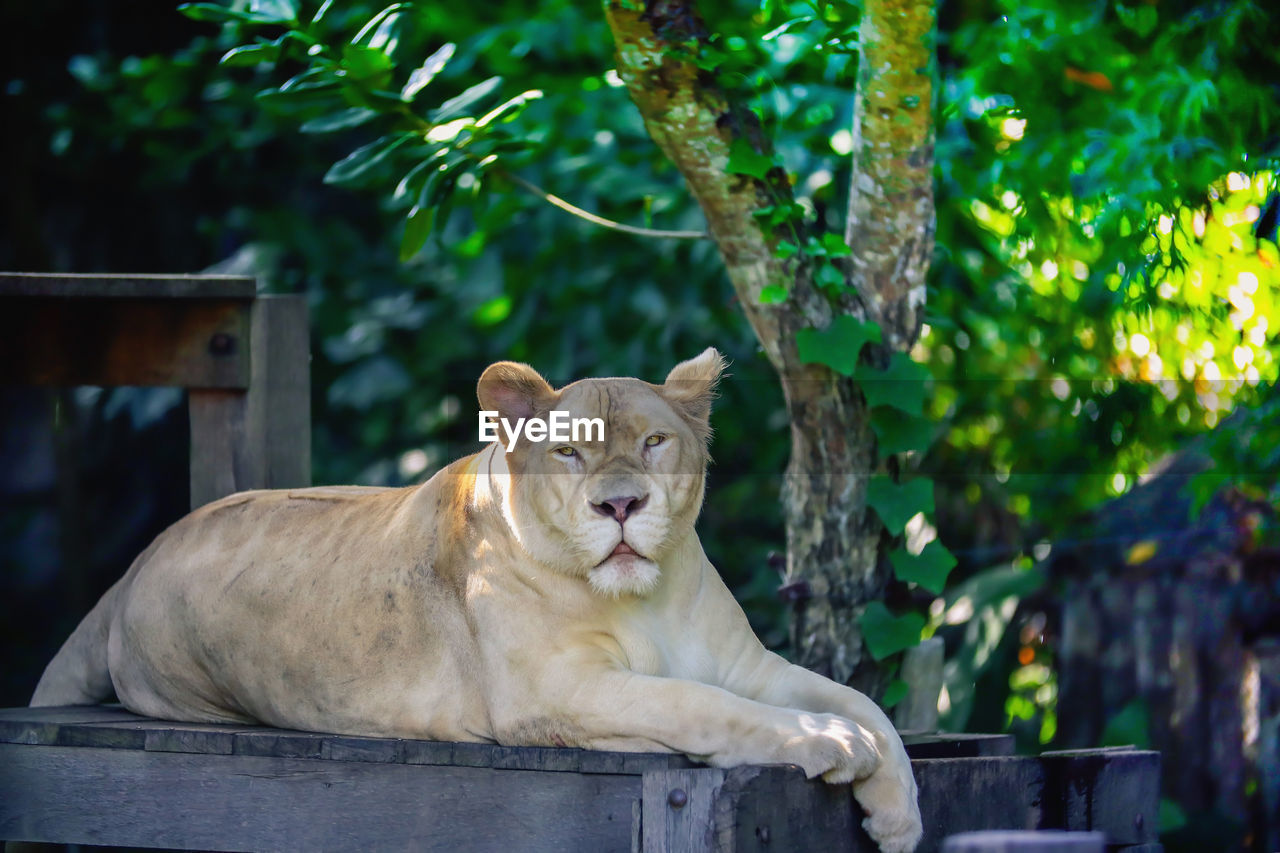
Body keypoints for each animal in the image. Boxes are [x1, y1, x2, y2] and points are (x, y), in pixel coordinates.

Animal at [32, 348, 921, 850]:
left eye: (653, 441)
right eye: (569, 454)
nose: (620, 505)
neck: (650, 598)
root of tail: (138, 559)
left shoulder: (752, 664)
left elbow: (864, 702)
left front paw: (899, 814)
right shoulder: (555, 693)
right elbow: (704, 705)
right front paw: (826, 742)